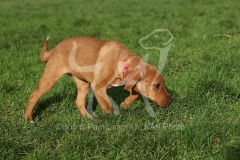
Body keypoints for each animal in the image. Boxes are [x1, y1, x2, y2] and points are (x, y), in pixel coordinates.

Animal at [23, 36, 172, 121]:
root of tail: (54, 49)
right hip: (50, 78)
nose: (171, 101)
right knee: (33, 96)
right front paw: (113, 119)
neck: (121, 62)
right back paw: (28, 119)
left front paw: (125, 104)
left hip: (83, 84)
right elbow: (107, 106)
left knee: (79, 102)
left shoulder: (129, 83)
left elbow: (135, 94)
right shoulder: (98, 86)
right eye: (157, 85)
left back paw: (91, 119)